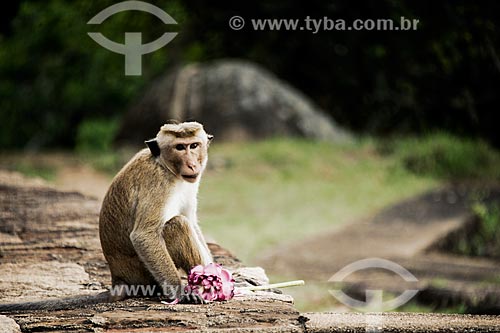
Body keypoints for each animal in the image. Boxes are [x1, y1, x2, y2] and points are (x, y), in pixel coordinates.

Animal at [0, 122, 213, 312]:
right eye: (180, 147)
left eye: (194, 145)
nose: (192, 164)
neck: (166, 167)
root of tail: (119, 278)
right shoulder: (158, 184)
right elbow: (144, 235)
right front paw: (181, 292)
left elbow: (192, 222)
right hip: (143, 275)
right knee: (177, 225)